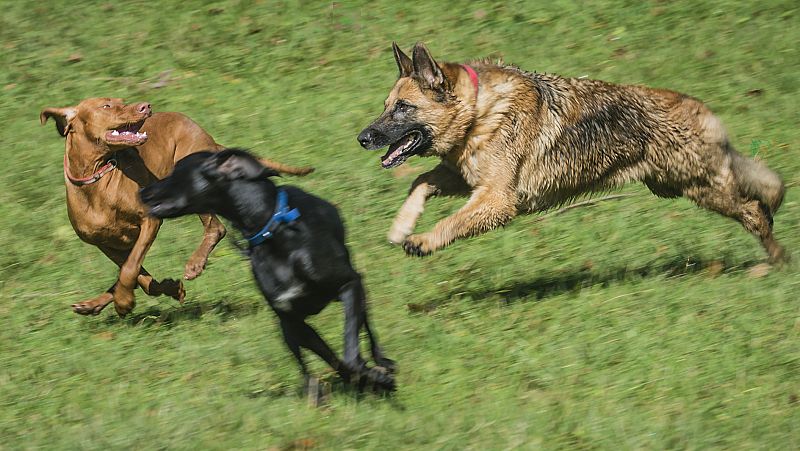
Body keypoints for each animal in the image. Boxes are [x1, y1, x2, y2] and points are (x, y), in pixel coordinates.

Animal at [42, 98, 314, 318]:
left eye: (120, 100)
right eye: (106, 105)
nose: (145, 106)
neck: (97, 180)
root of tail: (206, 136)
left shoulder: (149, 221)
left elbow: (130, 270)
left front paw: (124, 302)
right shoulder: (105, 244)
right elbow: (138, 275)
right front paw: (165, 289)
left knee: (216, 228)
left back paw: (195, 263)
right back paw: (94, 304)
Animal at [143, 148, 396, 392]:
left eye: (176, 171)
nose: (142, 191)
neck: (273, 231)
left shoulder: (349, 284)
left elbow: (351, 352)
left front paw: (377, 378)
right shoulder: (291, 321)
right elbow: (336, 361)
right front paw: (365, 381)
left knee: (366, 329)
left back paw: (381, 363)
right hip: (286, 329)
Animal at [358, 42, 788, 264]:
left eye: (403, 108)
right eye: (386, 105)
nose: (362, 138)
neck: (479, 109)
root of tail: (705, 112)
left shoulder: (496, 199)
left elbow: (453, 220)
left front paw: (424, 240)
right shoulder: (466, 180)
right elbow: (419, 181)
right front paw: (402, 226)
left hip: (703, 188)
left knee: (755, 210)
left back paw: (777, 260)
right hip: (679, 186)